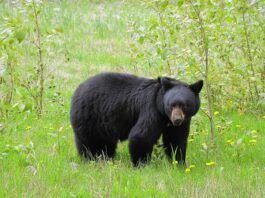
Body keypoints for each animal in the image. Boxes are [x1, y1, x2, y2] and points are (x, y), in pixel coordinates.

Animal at [70, 72, 202, 166]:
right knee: (89, 142)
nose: (177, 120)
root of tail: (78, 89)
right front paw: (142, 164)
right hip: (89, 116)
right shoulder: (151, 110)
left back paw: (106, 158)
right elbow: (141, 135)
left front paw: (179, 163)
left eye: (184, 105)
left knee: (107, 143)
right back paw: (91, 159)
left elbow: (176, 140)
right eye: (172, 105)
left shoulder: (181, 122)